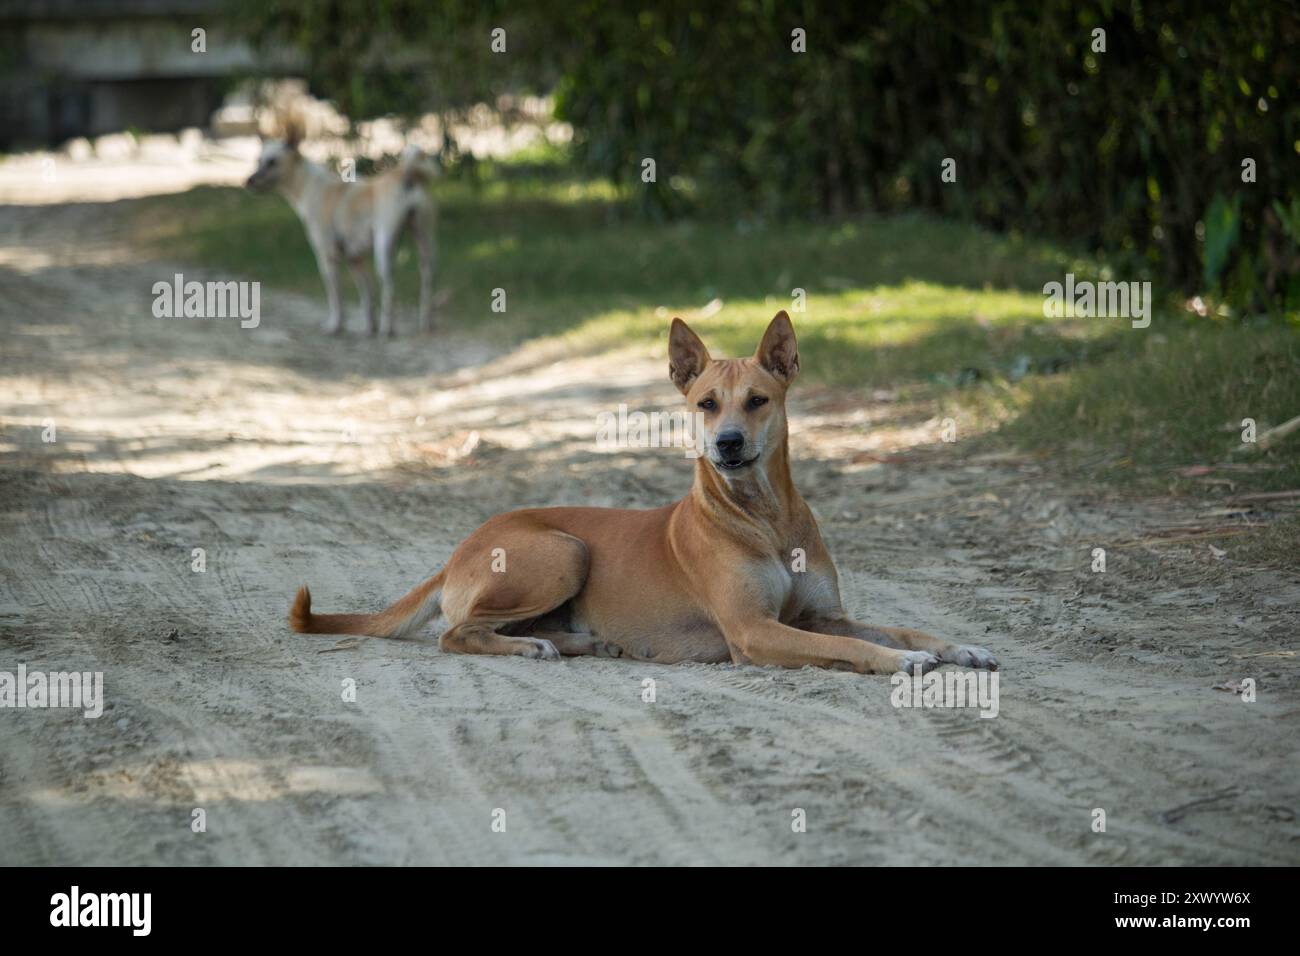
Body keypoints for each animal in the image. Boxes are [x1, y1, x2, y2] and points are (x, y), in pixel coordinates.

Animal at [289, 312, 998, 671]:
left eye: (758, 400)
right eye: (706, 403)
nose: (728, 444)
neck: (765, 517)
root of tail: (462, 545)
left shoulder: (822, 613)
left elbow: (899, 627)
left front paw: (957, 647)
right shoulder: (754, 631)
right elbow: (848, 648)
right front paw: (899, 663)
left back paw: (582, 642)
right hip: (564, 551)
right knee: (455, 631)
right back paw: (528, 646)